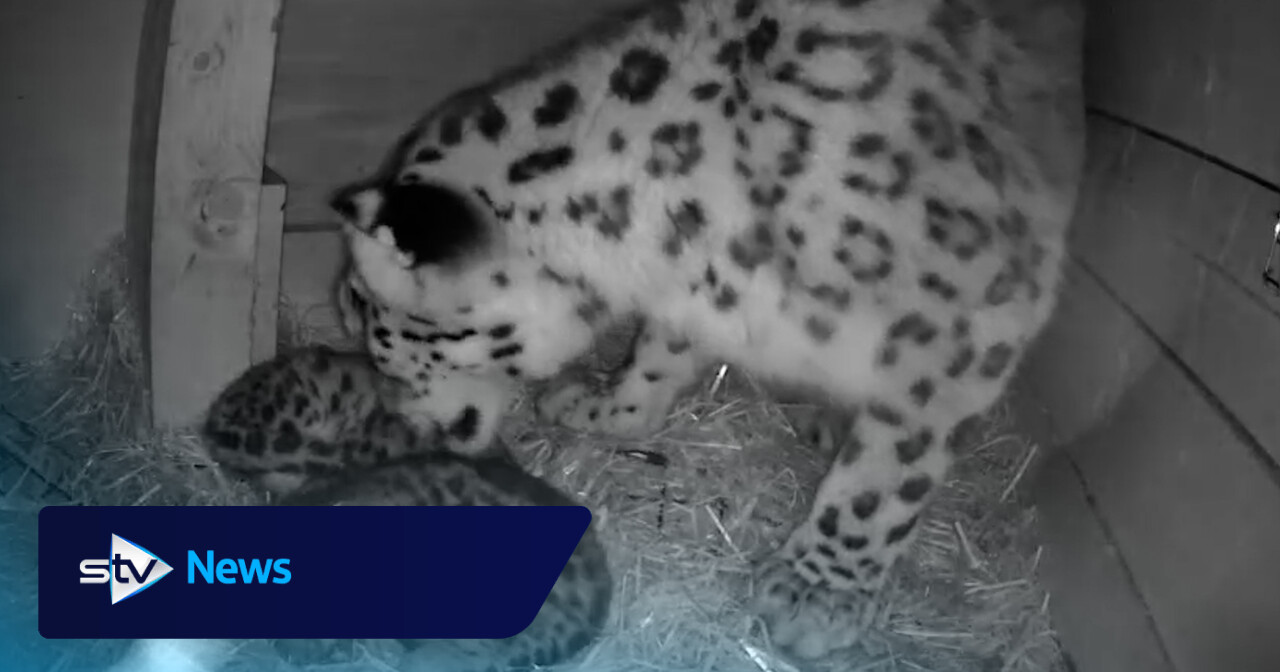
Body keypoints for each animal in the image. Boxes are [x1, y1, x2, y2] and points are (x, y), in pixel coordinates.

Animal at [326, 0, 1085, 660]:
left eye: (367, 311)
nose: (393, 415)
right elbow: (662, 351)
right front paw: (606, 407)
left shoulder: (972, 314)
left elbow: (891, 467)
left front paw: (816, 593)